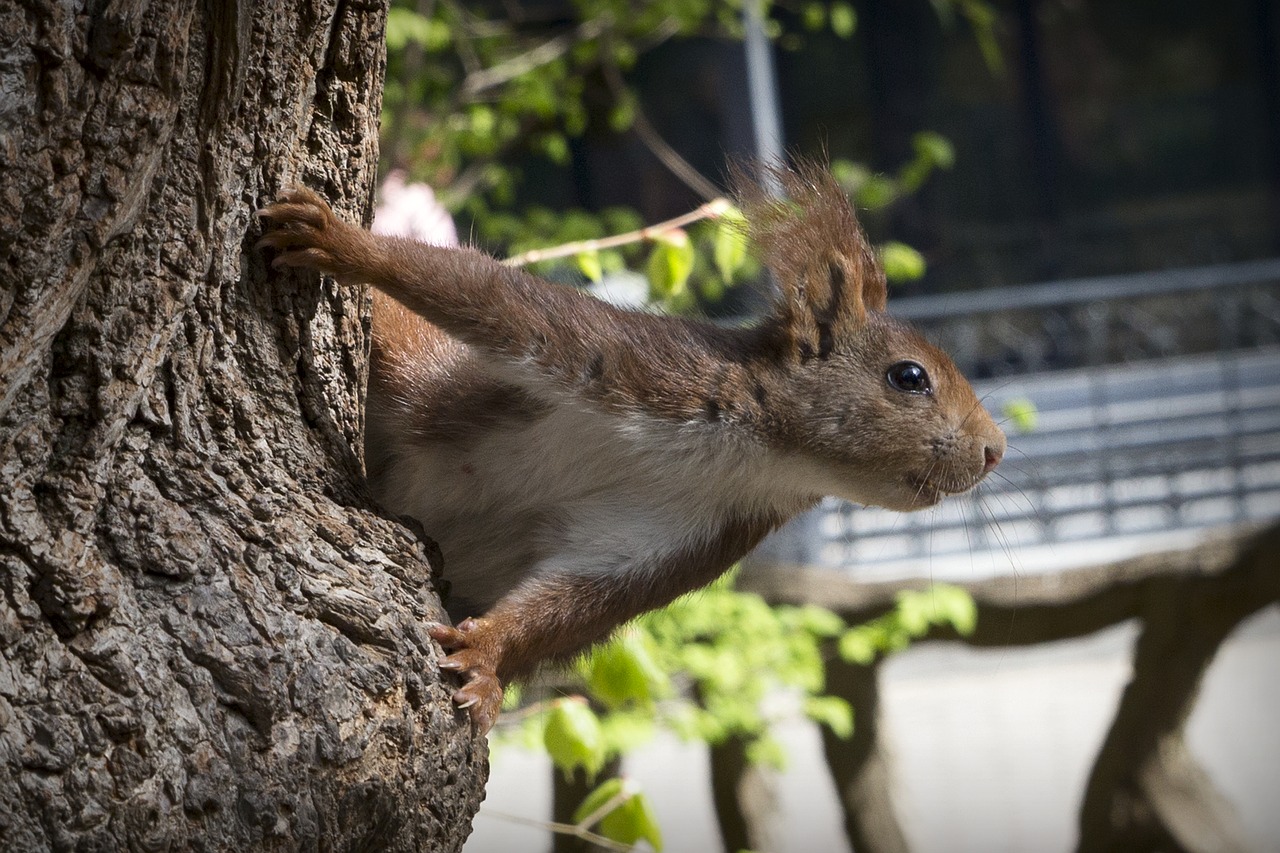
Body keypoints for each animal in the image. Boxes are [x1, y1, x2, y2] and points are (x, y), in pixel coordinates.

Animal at [257, 162, 998, 732]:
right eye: (908, 376)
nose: (995, 450)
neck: (756, 455)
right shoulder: (640, 365)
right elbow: (494, 296)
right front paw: (345, 243)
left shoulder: (682, 533)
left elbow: (572, 599)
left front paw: (488, 657)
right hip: (417, 366)